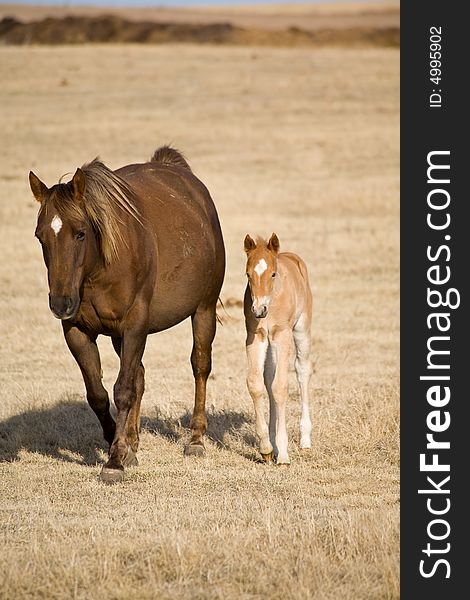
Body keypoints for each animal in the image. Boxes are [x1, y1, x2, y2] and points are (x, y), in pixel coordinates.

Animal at [246, 234, 312, 464]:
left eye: (273, 274)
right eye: (248, 274)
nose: (259, 310)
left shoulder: (282, 335)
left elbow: (281, 387)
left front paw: (283, 453)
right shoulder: (255, 336)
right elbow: (256, 384)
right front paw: (267, 447)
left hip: (301, 329)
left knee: (302, 370)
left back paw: (305, 439)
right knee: (269, 378)